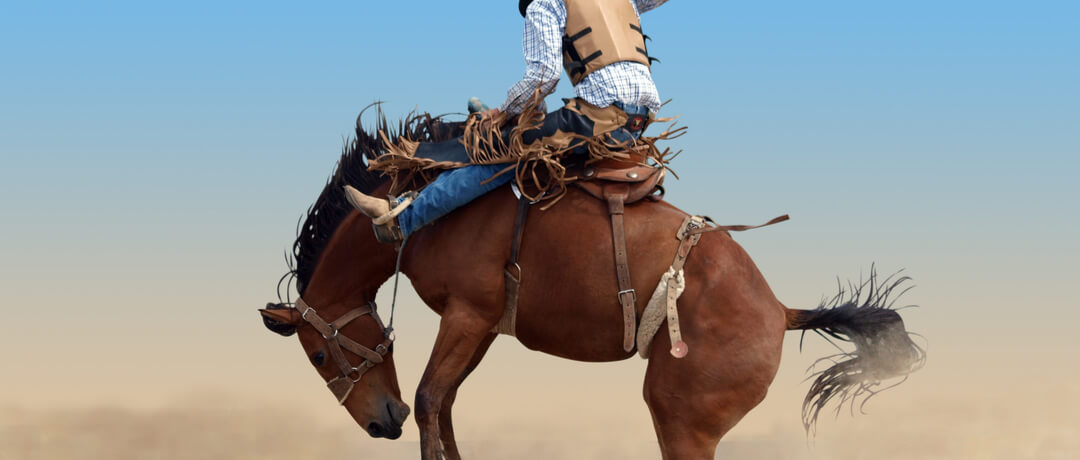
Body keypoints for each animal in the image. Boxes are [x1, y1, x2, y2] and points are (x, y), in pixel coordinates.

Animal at [259, 112, 920, 459]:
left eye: (318, 356)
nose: (380, 423)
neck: (424, 216)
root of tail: (780, 310)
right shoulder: (482, 325)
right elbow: (442, 404)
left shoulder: (466, 315)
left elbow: (427, 400)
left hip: (682, 419)